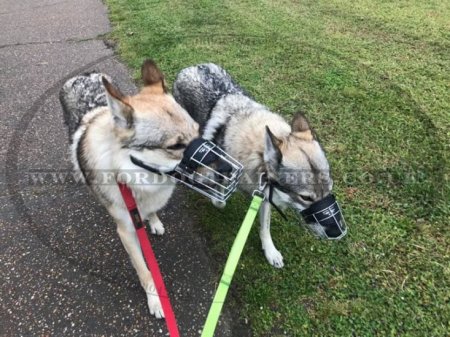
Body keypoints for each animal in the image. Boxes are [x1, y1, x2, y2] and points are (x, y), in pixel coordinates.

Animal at [59, 59, 199, 318]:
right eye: (175, 146)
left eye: (198, 131)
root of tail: (85, 75)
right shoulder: (126, 232)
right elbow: (145, 272)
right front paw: (156, 302)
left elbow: (153, 212)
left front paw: (154, 222)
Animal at [174, 63, 336, 268]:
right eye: (306, 198)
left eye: (329, 189)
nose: (336, 232)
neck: (257, 155)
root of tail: (191, 67)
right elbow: (220, 194)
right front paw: (216, 197)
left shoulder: (265, 195)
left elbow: (264, 228)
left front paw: (271, 252)